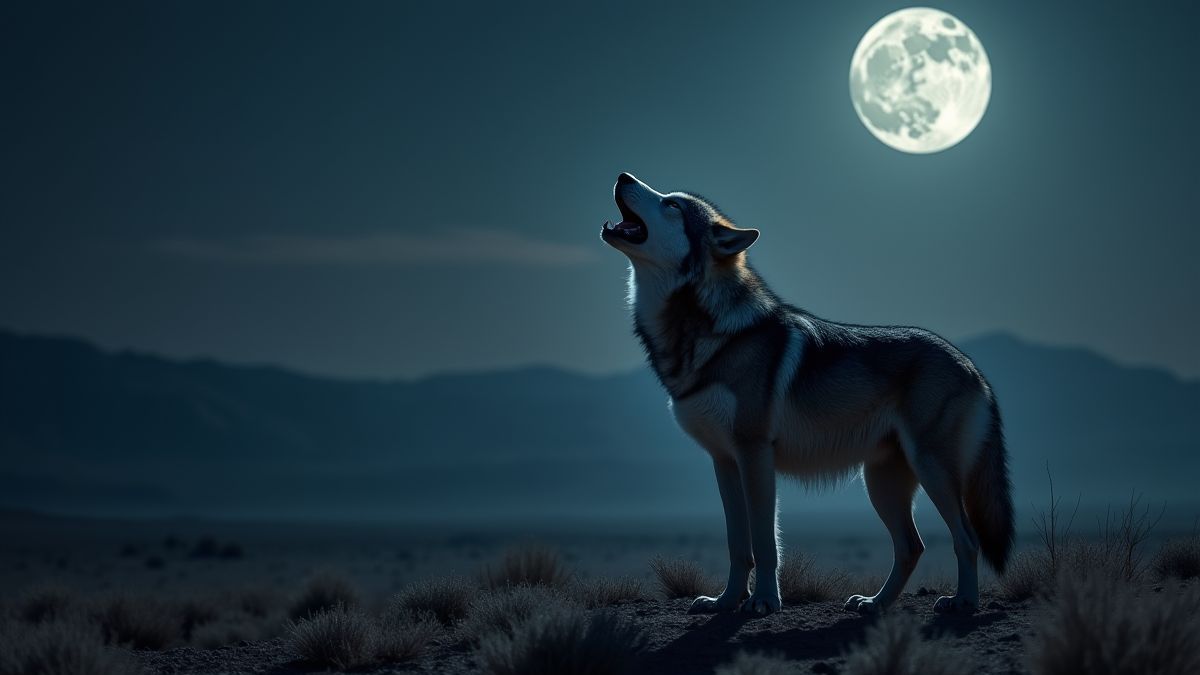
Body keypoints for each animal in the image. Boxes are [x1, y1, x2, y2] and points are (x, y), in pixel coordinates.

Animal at [601, 173, 1013, 616]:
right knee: (911, 547)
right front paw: (725, 601)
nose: (623, 175)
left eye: (672, 205)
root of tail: (972, 367)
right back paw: (875, 603)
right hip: (881, 482)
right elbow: (737, 545)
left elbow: (765, 544)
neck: (709, 332)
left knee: (965, 539)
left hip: (930, 470)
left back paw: (963, 602)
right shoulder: (724, 462)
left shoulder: (755, 455)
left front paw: (764, 601)